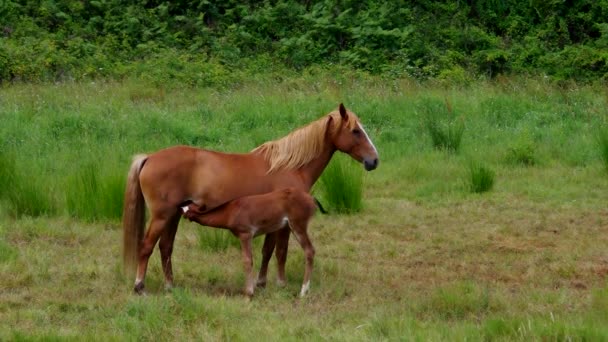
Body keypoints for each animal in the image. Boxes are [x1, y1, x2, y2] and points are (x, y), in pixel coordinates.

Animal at [180, 188, 318, 298]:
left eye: (186, 210)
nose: (178, 208)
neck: (232, 211)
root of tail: (311, 198)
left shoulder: (245, 235)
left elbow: (247, 260)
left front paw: (249, 293)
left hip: (298, 226)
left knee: (309, 250)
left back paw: (303, 291)